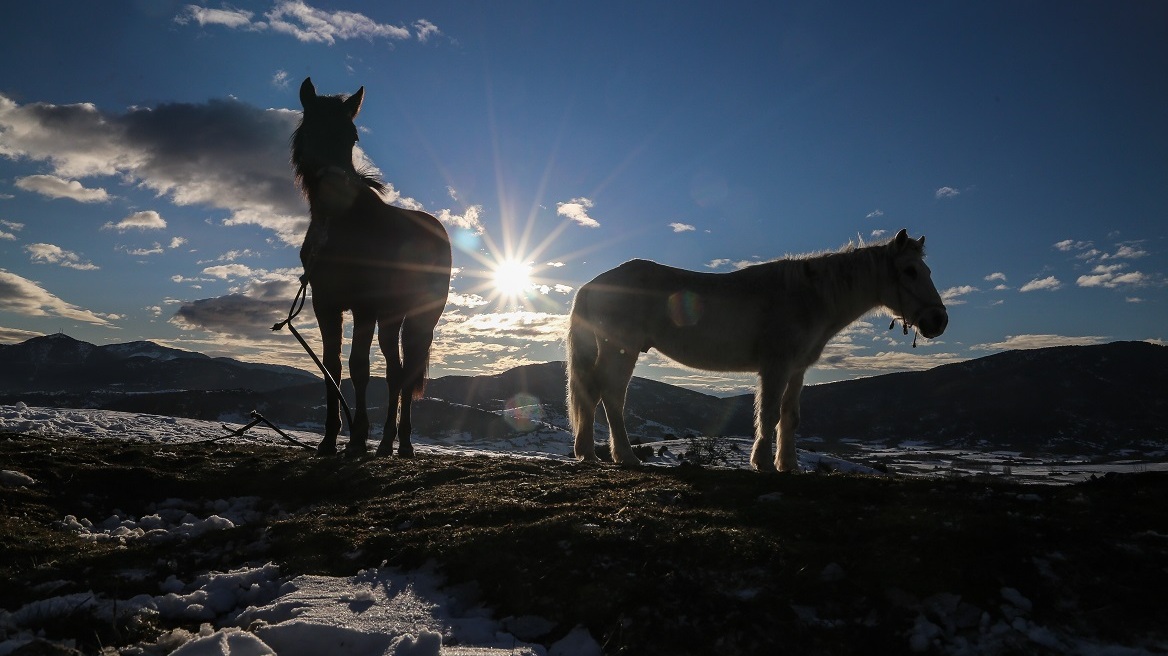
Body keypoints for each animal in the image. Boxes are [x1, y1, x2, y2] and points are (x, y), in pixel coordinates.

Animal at [565, 228, 948, 469]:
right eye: (910, 271)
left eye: (928, 269)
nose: (938, 320)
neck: (807, 297)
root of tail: (592, 286)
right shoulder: (775, 366)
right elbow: (769, 413)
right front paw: (762, 462)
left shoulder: (797, 369)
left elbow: (790, 416)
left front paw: (788, 464)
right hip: (621, 350)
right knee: (611, 395)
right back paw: (625, 456)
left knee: (591, 394)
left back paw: (588, 454)